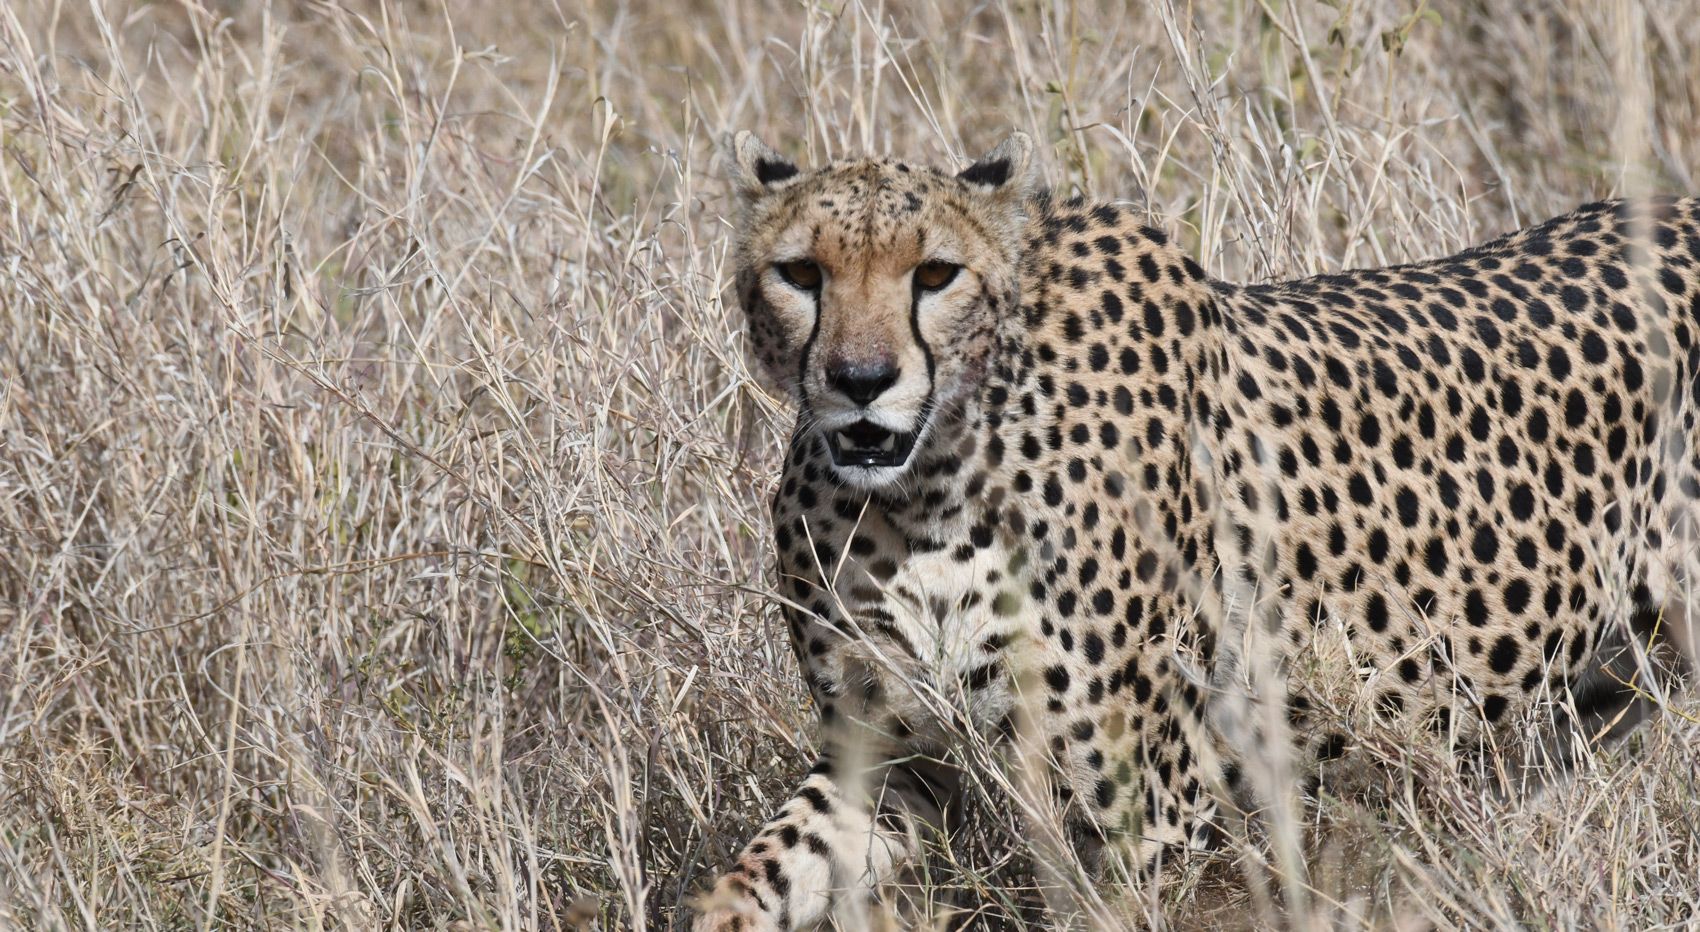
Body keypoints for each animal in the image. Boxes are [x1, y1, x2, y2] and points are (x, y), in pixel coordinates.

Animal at [693, 128, 1699, 931]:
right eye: (801, 273)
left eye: (935, 274)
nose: (861, 380)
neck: (929, 484)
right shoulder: (889, 755)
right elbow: (765, 868)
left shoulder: (1146, 811)